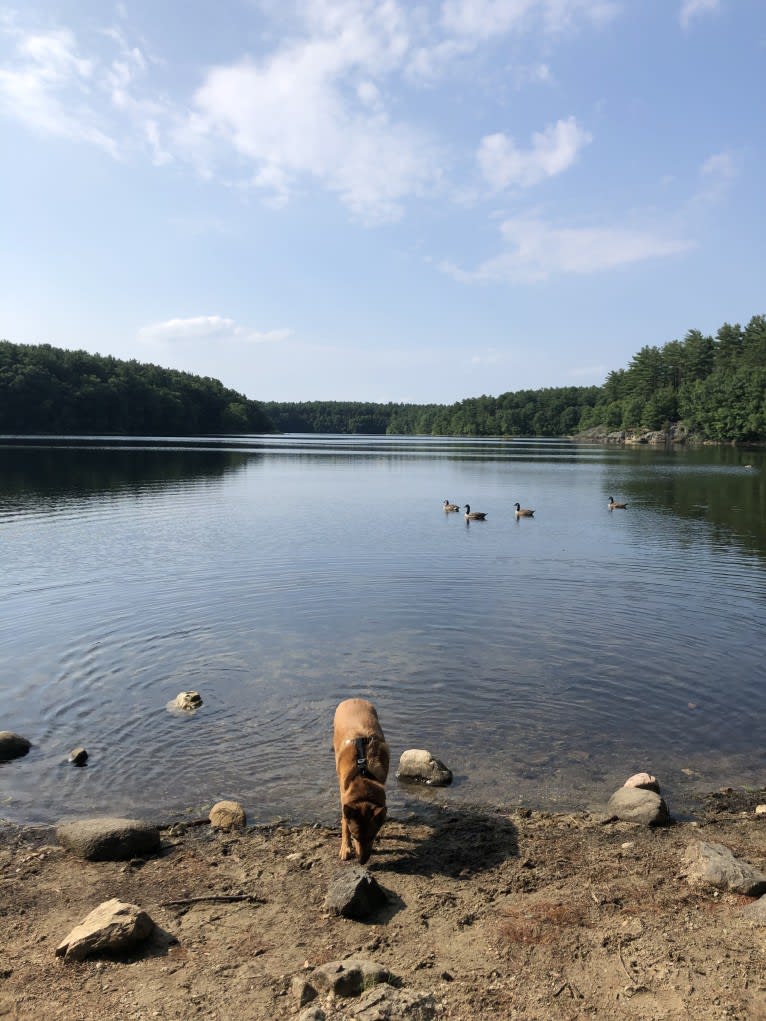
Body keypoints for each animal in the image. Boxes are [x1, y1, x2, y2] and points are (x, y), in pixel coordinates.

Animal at [334, 694, 390, 861]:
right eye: (355, 836)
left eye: (372, 836)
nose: (362, 861)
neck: (363, 776)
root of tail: (353, 699)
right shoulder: (344, 800)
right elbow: (344, 824)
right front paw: (345, 847)